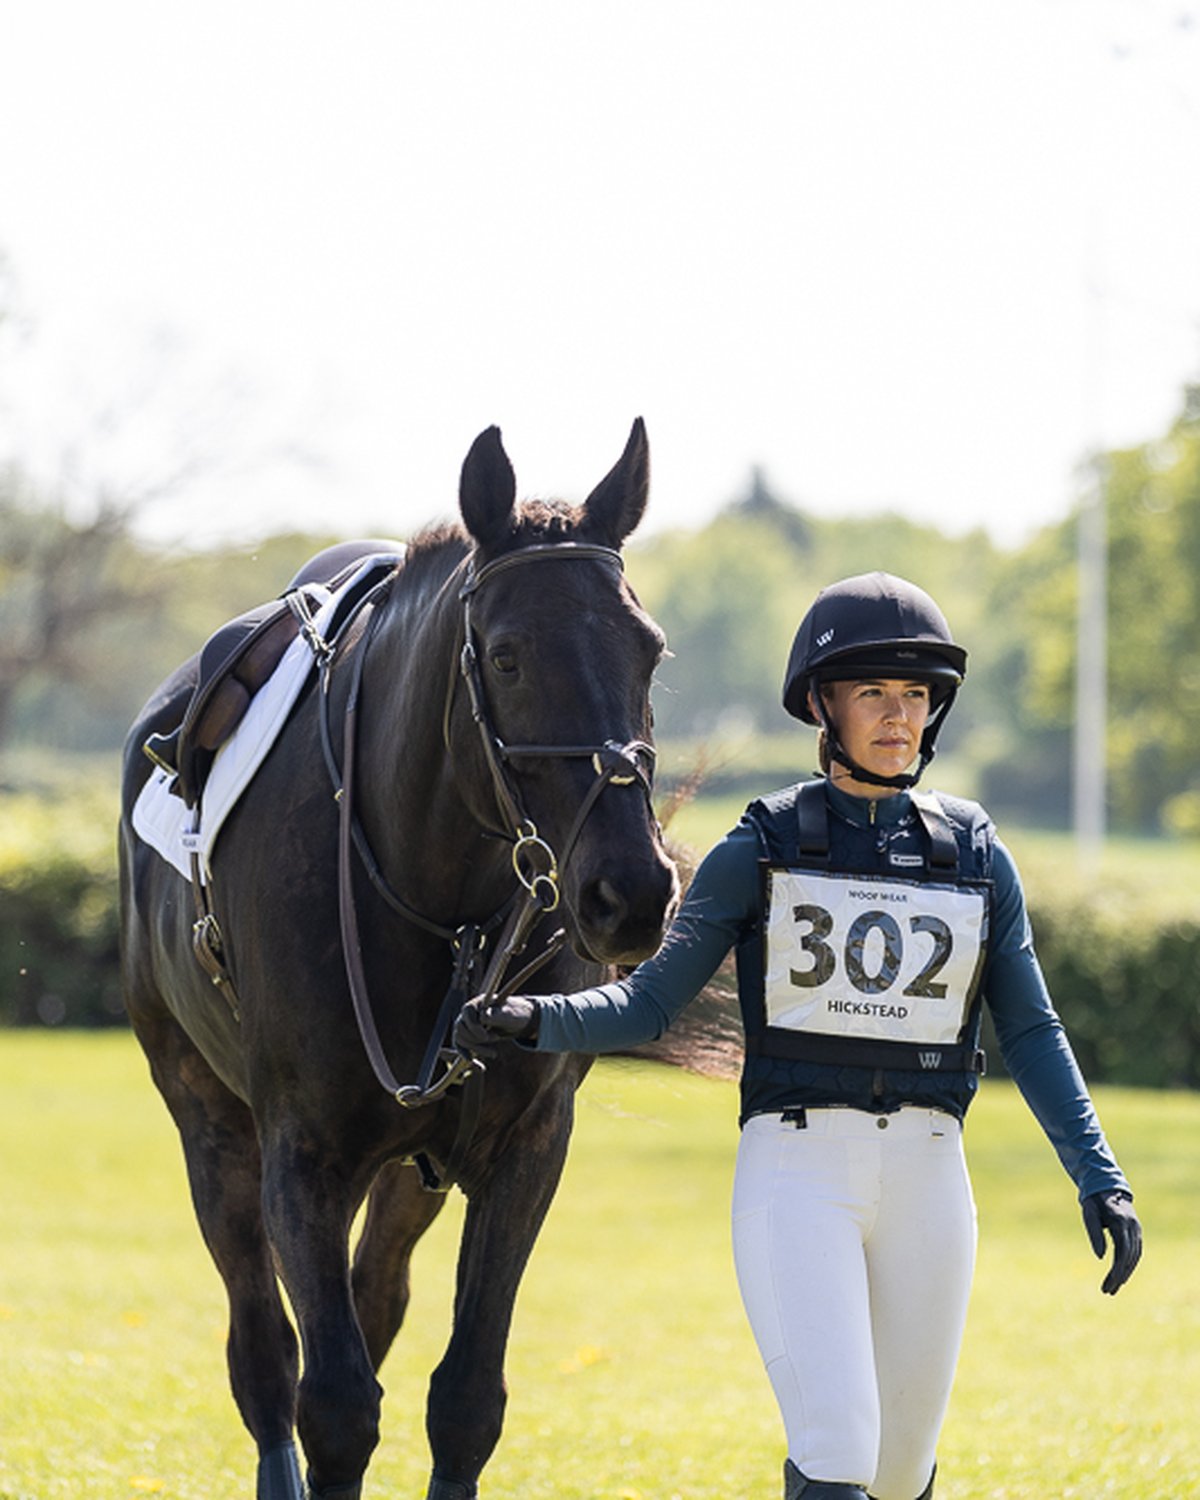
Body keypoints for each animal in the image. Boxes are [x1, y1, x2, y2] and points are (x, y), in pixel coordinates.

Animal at [118, 419, 680, 1500]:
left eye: (651, 650)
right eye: (505, 657)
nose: (630, 891)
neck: (438, 900)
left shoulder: (523, 1149)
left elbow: (463, 1399)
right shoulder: (301, 1153)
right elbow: (332, 1404)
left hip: (411, 1172)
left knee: (372, 1301)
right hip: (206, 1121)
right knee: (265, 1351)